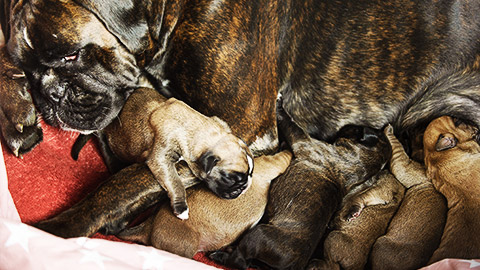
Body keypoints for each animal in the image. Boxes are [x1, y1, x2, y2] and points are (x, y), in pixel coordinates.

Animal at [104, 87, 255, 220]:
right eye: (229, 179)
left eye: (250, 174)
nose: (245, 185)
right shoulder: (161, 159)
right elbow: (175, 182)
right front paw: (181, 208)